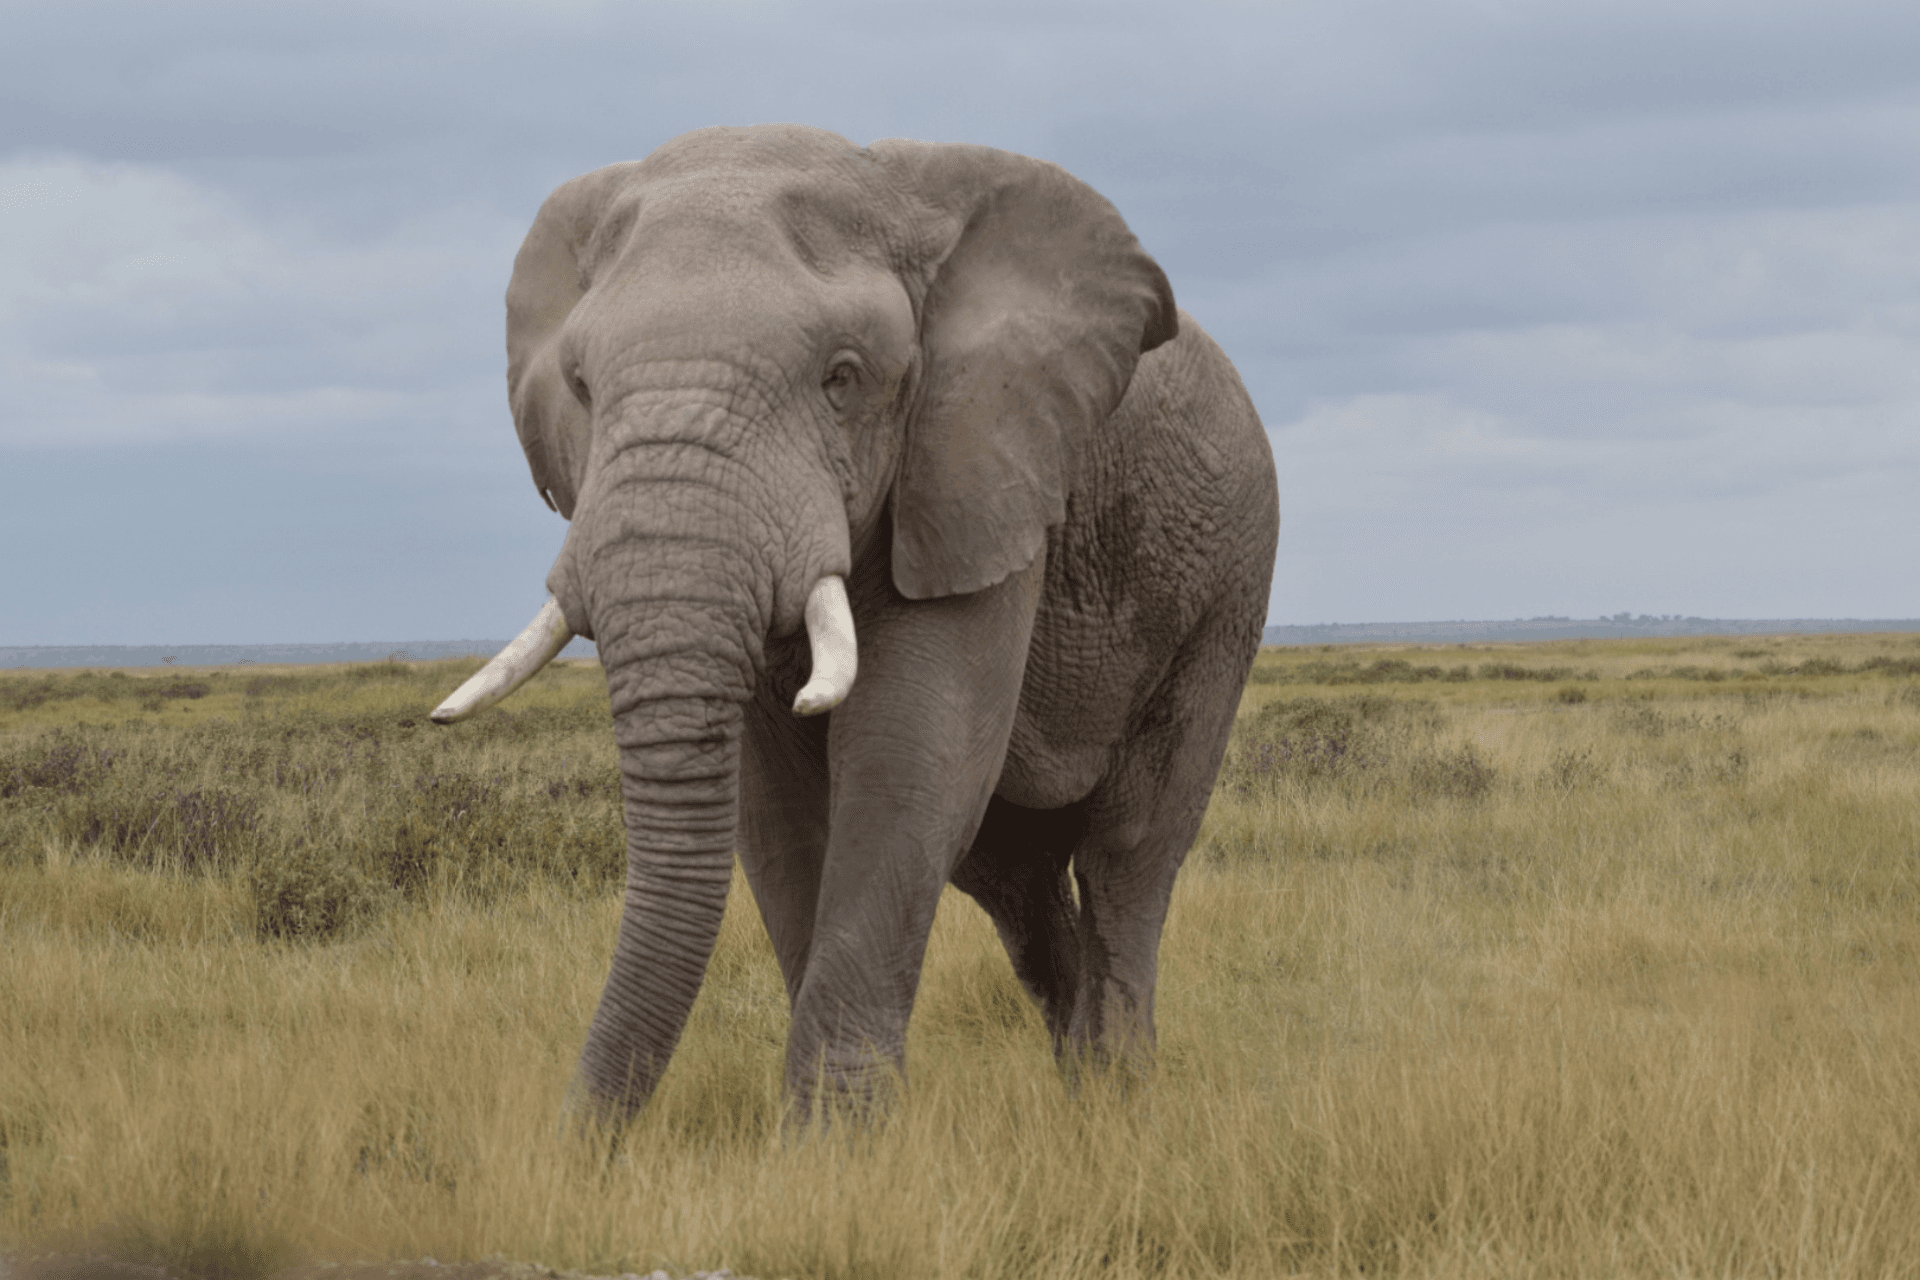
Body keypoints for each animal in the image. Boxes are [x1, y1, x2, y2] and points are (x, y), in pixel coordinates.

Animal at [432, 124, 1279, 1125]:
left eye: (843, 378)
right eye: (580, 385)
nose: (574, 1140)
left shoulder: (972, 468)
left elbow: (906, 759)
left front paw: (834, 1138)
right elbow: (778, 811)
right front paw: (828, 1133)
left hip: (1227, 584)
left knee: (1129, 850)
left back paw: (1116, 1094)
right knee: (1013, 880)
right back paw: (1076, 1080)